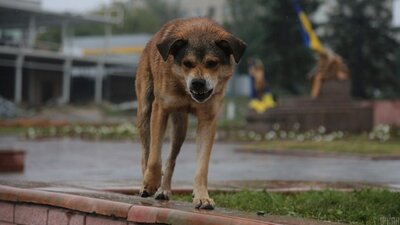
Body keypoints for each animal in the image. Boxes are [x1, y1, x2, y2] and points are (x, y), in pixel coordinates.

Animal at [136, 17, 245, 209]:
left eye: (212, 63)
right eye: (187, 63)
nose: (198, 83)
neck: (185, 92)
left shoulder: (208, 120)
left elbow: (202, 166)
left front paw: (202, 197)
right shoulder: (160, 109)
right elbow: (154, 157)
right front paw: (150, 183)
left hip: (180, 128)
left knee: (171, 158)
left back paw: (164, 190)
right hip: (144, 111)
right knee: (146, 151)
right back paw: (146, 184)